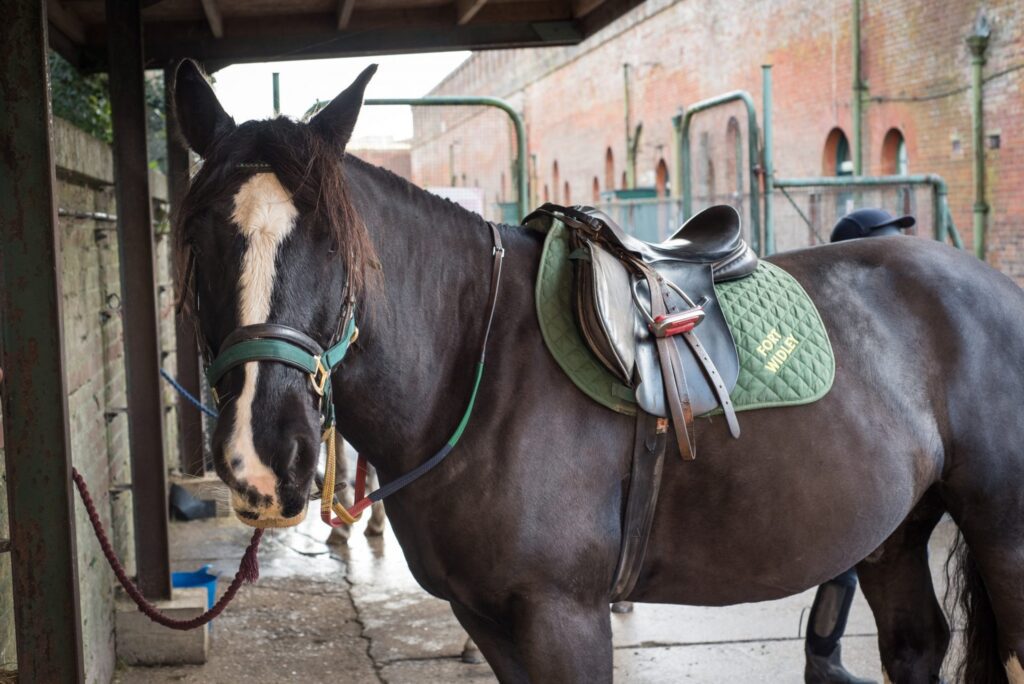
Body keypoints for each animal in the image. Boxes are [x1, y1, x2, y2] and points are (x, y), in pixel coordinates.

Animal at [172, 60, 1024, 684]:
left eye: (335, 241)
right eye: (201, 234)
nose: (263, 455)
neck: (476, 367)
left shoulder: (563, 615)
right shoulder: (487, 618)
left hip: (1001, 536)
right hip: (894, 535)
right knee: (917, 643)